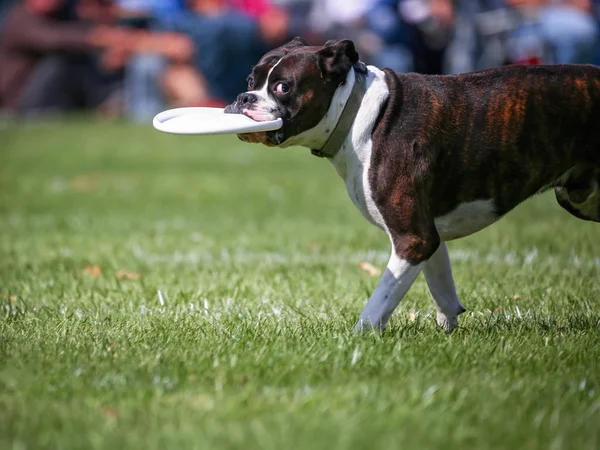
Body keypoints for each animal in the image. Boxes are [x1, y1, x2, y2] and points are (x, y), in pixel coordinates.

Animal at [224, 37, 600, 330]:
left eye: (283, 87)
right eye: (251, 79)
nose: (244, 98)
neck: (358, 111)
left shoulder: (412, 238)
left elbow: (378, 303)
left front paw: (357, 340)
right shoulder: (428, 233)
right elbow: (442, 287)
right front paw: (448, 331)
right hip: (580, 197)